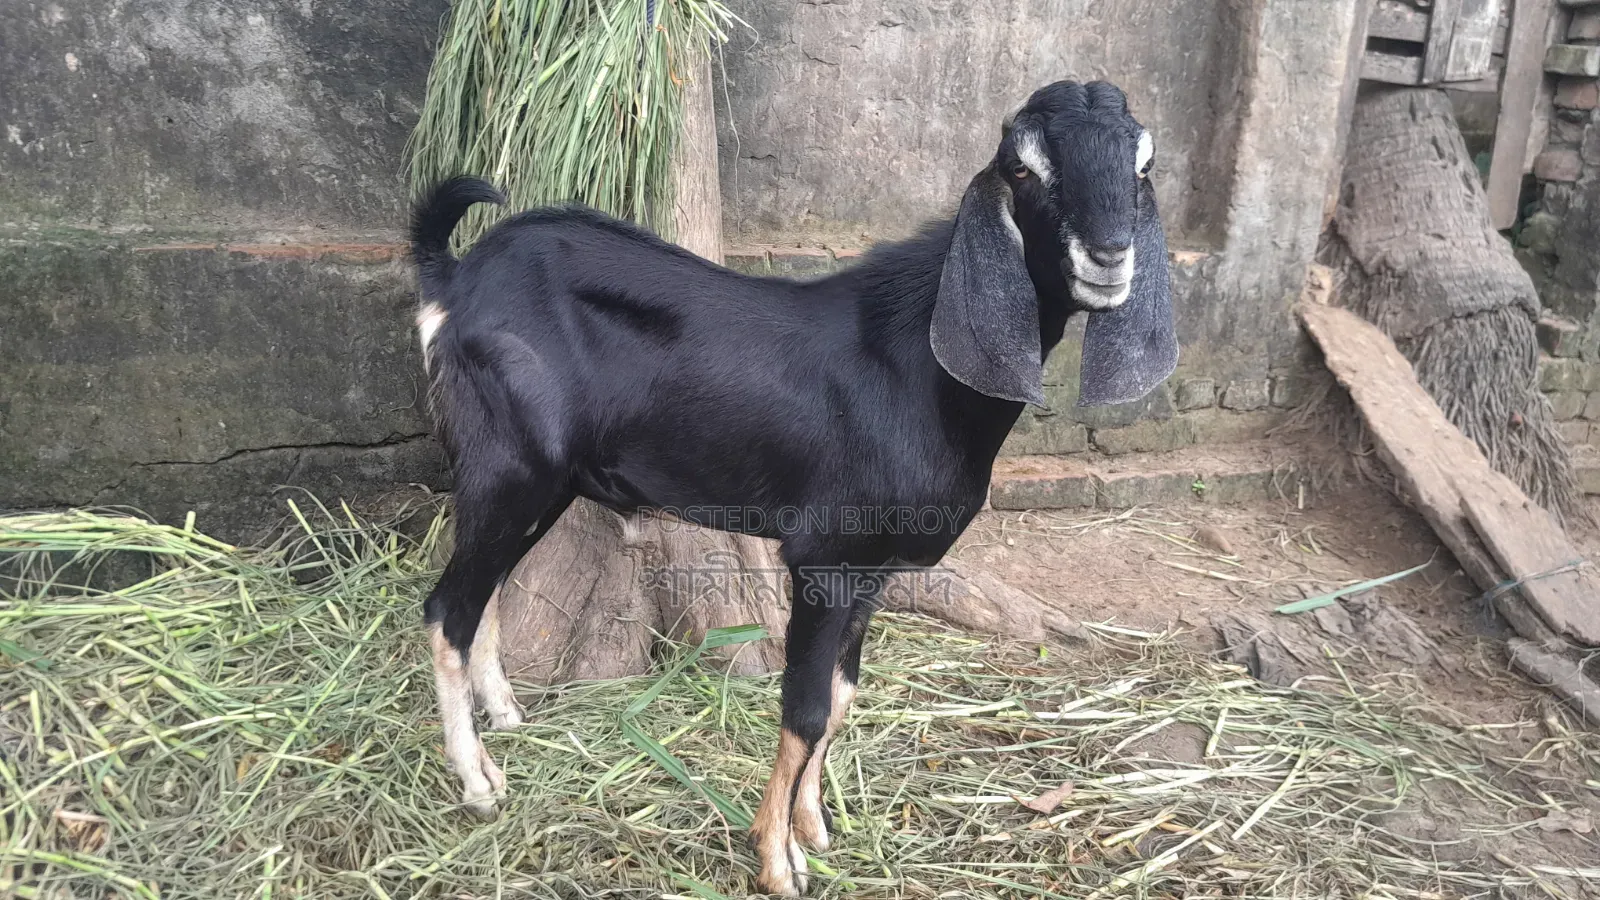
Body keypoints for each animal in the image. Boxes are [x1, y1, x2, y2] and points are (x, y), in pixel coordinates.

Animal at [410, 79, 1176, 896]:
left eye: (1143, 165)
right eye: (1024, 168)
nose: (1108, 257)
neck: (918, 365)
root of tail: (456, 280)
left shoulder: (872, 570)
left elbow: (840, 700)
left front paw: (813, 827)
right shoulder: (824, 559)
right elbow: (805, 710)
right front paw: (778, 860)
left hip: (540, 483)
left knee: (485, 593)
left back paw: (505, 718)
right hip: (512, 463)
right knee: (448, 607)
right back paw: (479, 783)